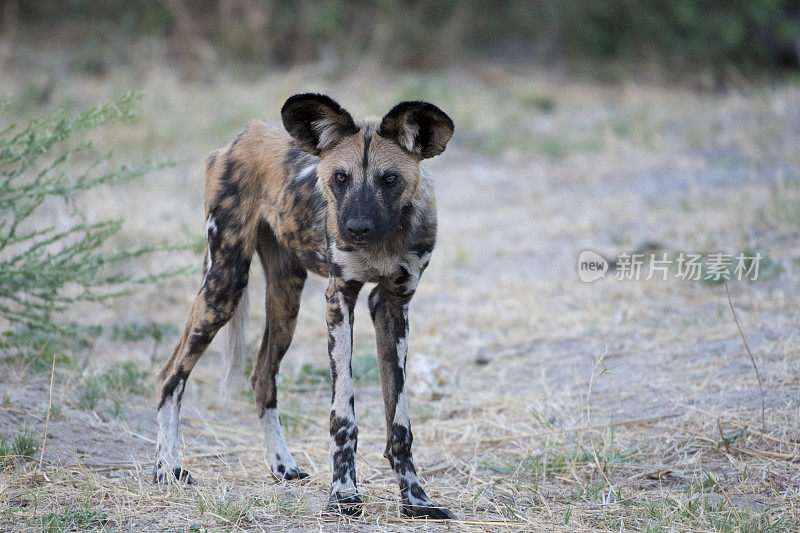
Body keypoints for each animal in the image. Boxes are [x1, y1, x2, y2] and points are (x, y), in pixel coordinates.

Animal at [152, 93, 454, 516]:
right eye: (340, 178)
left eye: (389, 179)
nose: (356, 229)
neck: (383, 241)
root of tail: (238, 140)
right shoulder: (340, 297)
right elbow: (343, 418)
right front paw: (344, 495)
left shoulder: (392, 305)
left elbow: (400, 423)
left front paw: (415, 499)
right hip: (223, 288)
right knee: (170, 376)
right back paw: (168, 468)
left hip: (286, 301)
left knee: (262, 377)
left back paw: (283, 466)